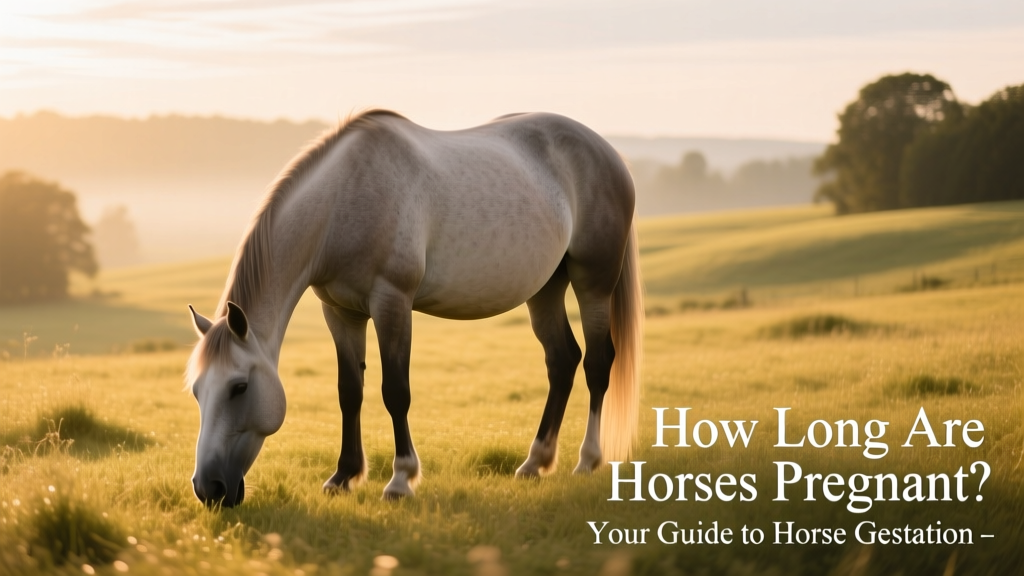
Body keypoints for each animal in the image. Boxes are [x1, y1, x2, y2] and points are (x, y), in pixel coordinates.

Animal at [185, 110, 643, 507]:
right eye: (196, 390)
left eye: (239, 387)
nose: (209, 488)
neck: (343, 200)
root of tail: (609, 154)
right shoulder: (340, 311)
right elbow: (349, 392)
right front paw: (343, 476)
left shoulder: (392, 302)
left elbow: (395, 392)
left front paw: (400, 480)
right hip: (546, 288)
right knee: (562, 361)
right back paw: (534, 463)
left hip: (593, 282)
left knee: (597, 363)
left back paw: (587, 460)